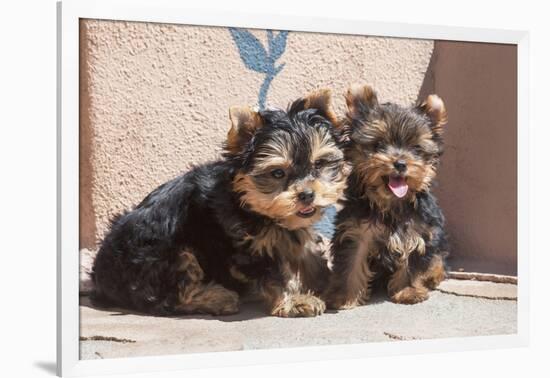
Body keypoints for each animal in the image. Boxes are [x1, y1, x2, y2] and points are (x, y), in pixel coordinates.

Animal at [90, 90, 350, 318]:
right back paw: (219, 298)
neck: (248, 201)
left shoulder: (292, 229)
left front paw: (332, 287)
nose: (307, 195)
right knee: (169, 296)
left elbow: (309, 253)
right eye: (277, 173)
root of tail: (100, 278)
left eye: (319, 164)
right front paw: (294, 301)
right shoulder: (247, 245)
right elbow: (274, 273)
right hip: (164, 256)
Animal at [326, 83, 450, 308]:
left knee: (438, 259)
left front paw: (408, 291)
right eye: (378, 145)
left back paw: (433, 276)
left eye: (415, 149)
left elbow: (412, 262)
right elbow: (351, 263)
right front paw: (345, 296)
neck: (391, 202)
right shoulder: (356, 231)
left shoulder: (418, 231)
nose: (400, 163)